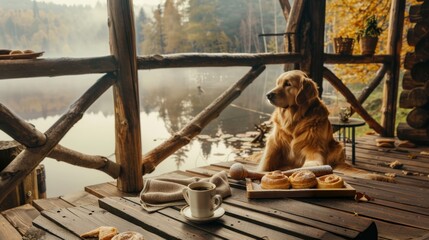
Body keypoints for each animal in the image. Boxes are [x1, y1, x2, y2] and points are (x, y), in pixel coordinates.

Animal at [256, 69, 392, 182]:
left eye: (288, 84)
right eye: (277, 83)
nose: (268, 95)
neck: (294, 119)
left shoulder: (313, 149)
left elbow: (311, 164)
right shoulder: (274, 144)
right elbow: (265, 164)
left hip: (338, 146)